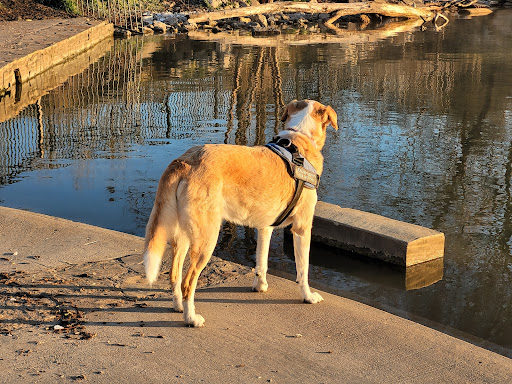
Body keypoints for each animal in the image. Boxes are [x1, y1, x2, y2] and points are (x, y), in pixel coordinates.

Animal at [142, 100, 338, 328]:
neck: (299, 137)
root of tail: (185, 161)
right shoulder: (302, 229)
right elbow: (303, 269)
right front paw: (308, 296)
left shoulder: (265, 227)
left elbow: (262, 261)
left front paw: (260, 286)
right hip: (206, 239)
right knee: (188, 282)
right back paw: (191, 318)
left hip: (181, 235)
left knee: (175, 275)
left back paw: (178, 307)